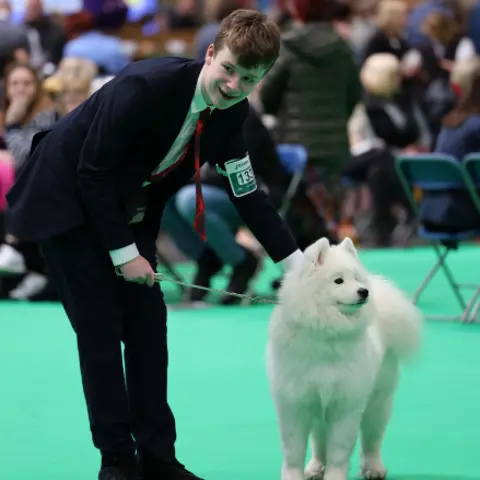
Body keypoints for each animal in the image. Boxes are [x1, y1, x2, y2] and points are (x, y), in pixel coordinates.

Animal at [268, 237, 422, 480]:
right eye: (338, 281)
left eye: (356, 278)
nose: (364, 291)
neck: (326, 331)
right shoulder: (296, 402)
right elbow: (293, 449)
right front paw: (294, 476)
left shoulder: (345, 403)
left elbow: (339, 450)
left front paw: (334, 475)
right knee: (319, 441)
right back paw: (315, 467)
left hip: (377, 401)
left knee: (372, 440)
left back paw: (374, 469)